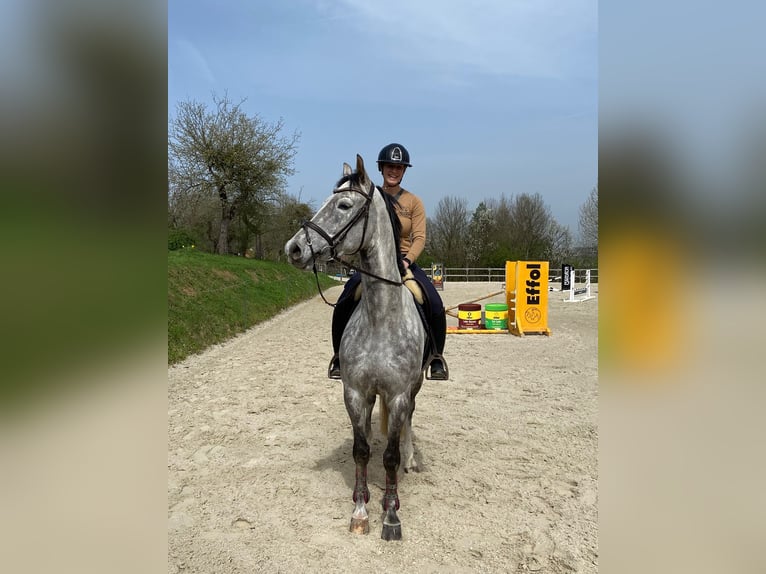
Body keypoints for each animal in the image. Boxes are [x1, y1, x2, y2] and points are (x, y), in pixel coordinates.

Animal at [284, 155, 426, 544]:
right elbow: (360, 450)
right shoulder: (355, 392)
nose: (294, 249)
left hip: (414, 388)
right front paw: (361, 510)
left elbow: (389, 457)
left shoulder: (397, 394)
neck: (380, 317)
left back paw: (411, 458)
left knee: (409, 421)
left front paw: (391, 515)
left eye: (344, 205)